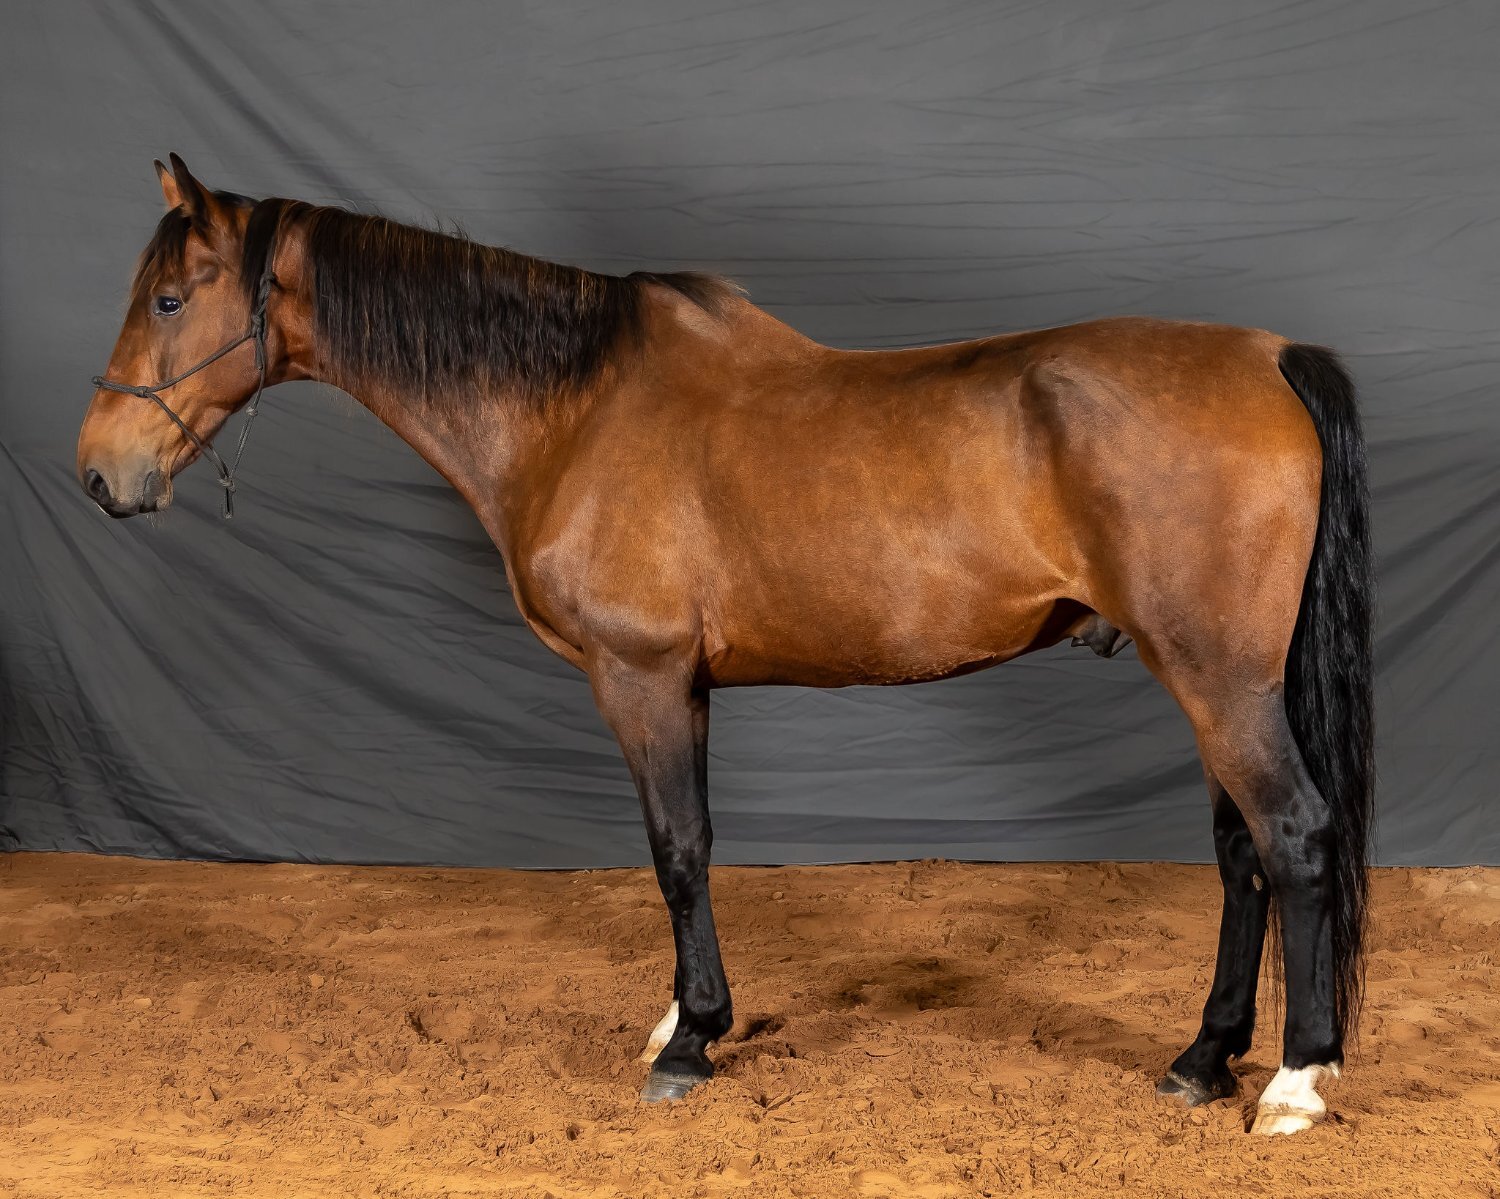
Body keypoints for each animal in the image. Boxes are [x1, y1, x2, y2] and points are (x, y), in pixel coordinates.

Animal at [77, 155, 1374, 1136]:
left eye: (169, 300)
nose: (100, 473)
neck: (575, 407)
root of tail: (1269, 357)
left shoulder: (640, 679)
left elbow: (678, 849)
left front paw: (690, 1039)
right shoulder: (686, 686)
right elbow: (685, 846)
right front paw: (677, 1016)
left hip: (1218, 681)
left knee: (1294, 837)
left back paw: (1294, 1079)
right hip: (1211, 681)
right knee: (1243, 855)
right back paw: (1201, 1058)